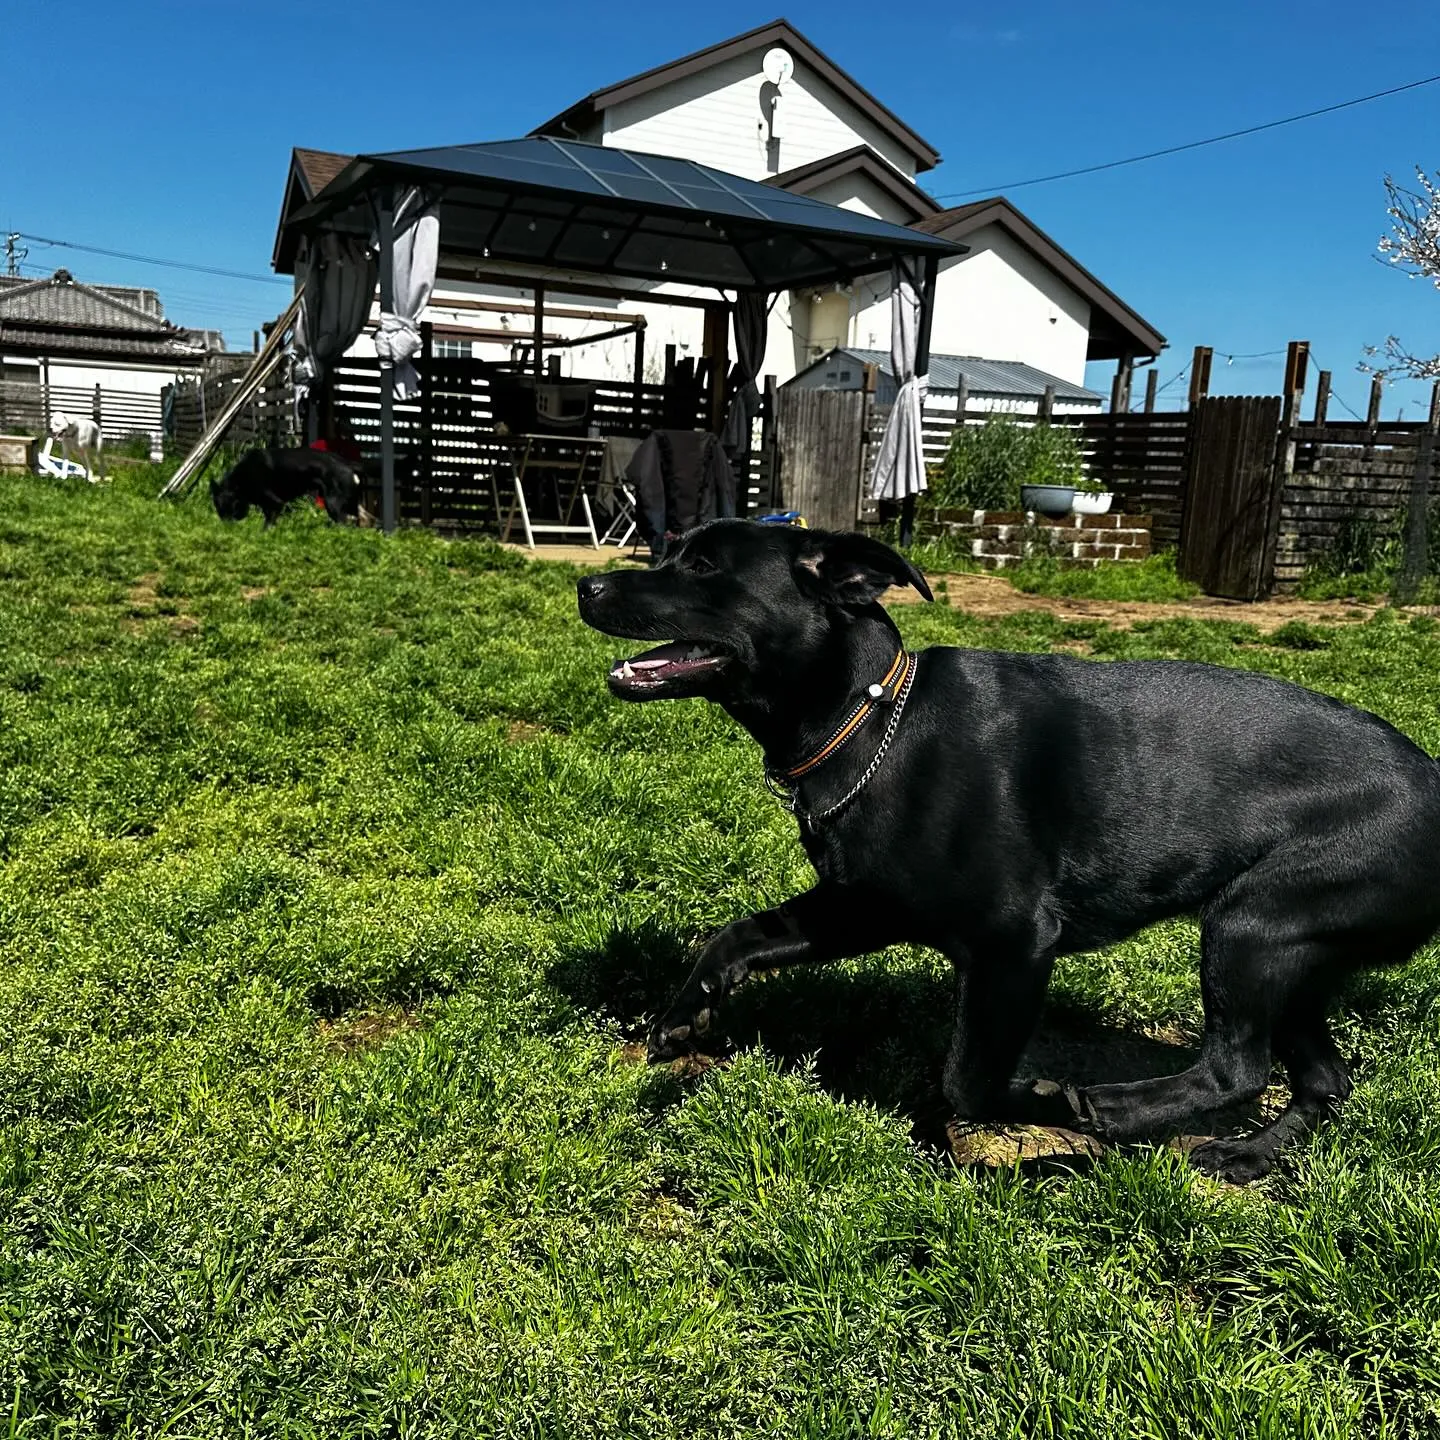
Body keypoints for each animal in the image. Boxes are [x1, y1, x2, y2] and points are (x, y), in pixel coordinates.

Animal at [210, 446, 362, 527]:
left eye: (234, 508)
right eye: (219, 510)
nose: (228, 528)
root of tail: (348, 464)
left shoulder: (276, 504)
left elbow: (267, 526)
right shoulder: (266, 506)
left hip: (333, 504)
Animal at [576, 521, 1440, 1180]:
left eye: (703, 565)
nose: (586, 587)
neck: (873, 724)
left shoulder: (1013, 946)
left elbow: (969, 1080)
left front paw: (1048, 1103)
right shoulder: (860, 908)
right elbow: (738, 934)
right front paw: (683, 1015)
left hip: (1251, 927)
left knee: (1239, 1067)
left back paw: (1114, 1111)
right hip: (1296, 959)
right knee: (1323, 1079)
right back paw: (1249, 1156)